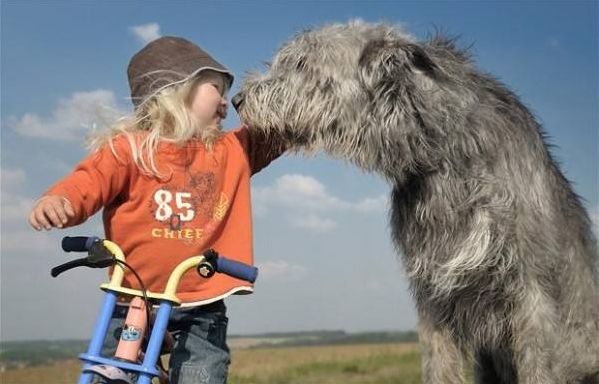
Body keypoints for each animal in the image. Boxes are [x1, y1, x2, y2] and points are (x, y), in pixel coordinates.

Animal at [233, 21, 599, 384]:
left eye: (301, 63)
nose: (238, 99)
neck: (444, 154)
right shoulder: (433, 291)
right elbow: (439, 364)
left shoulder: (532, 292)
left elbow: (539, 362)